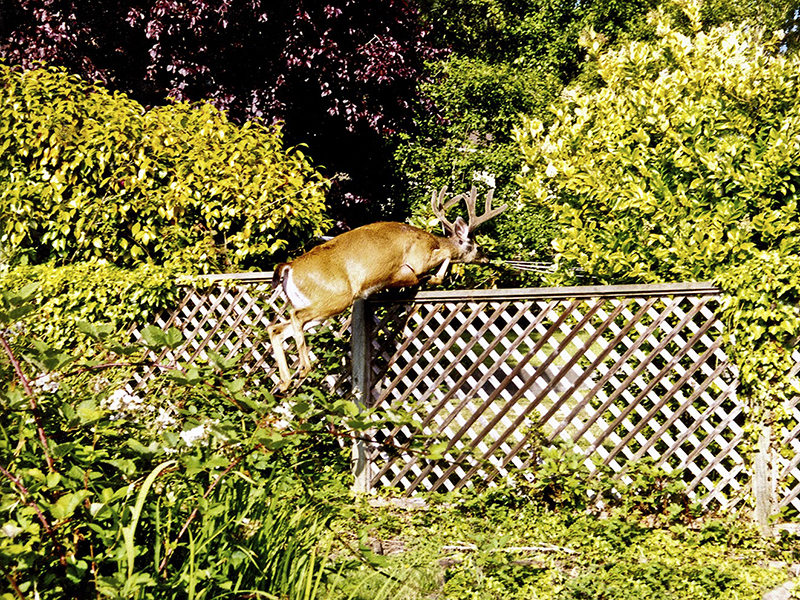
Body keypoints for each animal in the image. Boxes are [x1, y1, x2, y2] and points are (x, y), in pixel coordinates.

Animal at [267, 186, 507, 391]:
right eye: (478, 247)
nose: (487, 258)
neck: (432, 240)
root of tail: (289, 267)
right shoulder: (418, 260)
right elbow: (442, 258)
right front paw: (432, 278)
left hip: (318, 306)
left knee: (275, 328)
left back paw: (285, 382)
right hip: (335, 296)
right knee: (294, 316)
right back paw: (303, 369)